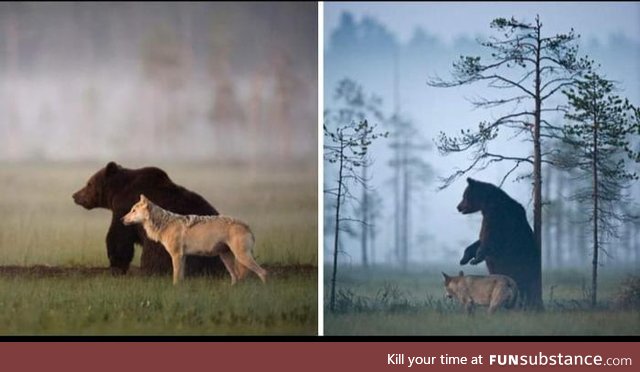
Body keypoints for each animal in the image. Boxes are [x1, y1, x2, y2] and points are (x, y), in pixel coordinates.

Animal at [72, 163, 225, 276]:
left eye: (89, 183)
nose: (75, 195)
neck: (116, 192)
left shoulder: (125, 207)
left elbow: (119, 237)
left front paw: (116, 265)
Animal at [122, 195, 268, 284]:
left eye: (133, 210)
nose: (121, 219)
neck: (164, 224)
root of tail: (247, 226)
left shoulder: (176, 255)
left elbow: (175, 278)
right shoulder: (183, 256)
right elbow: (180, 278)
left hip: (242, 257)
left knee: (263, 272)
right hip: (227, 258)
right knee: (236, 277)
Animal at [458, 179, 544, 310]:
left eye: (464, 195)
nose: (458, 207)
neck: (487, 205)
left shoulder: (499, 218)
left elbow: (491, 239)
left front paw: (476, 258)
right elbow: (479, 240)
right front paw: (464, 258)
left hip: (519, 266)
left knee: (523, 284)